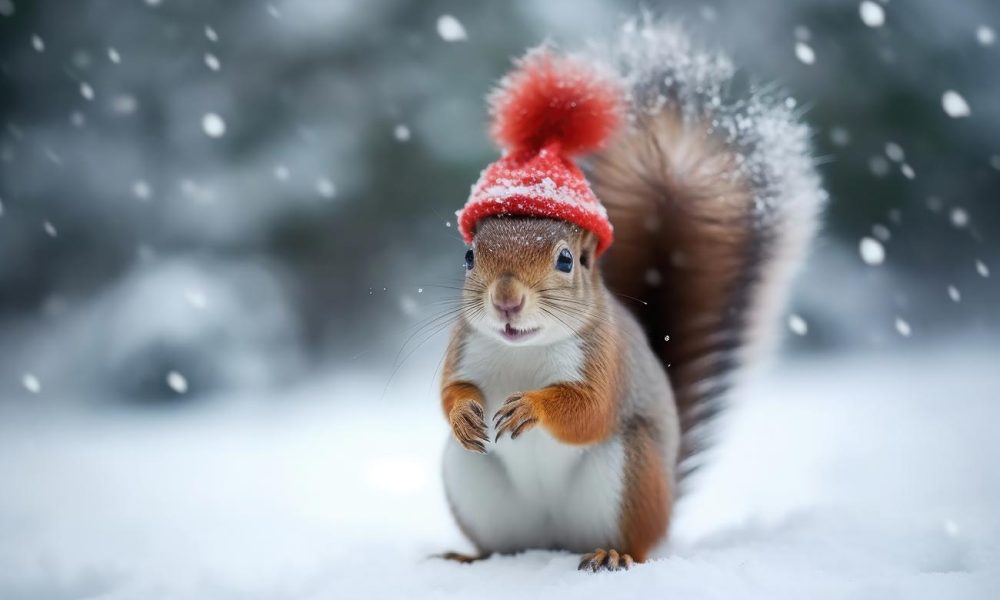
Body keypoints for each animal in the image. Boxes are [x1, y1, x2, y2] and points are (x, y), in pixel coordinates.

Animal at [438, 21, 823, 571]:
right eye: (470, 255)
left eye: (566, 260)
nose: (506, 301)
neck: (523, 350)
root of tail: (553, 541)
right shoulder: (463, 347)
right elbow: (448, 391)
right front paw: (463, 414)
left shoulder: (607, 358)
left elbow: (589, 410)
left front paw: (533, 406)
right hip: (472, 482)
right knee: (501, 545)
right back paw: (471, 559)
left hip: (630, 472)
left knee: (636, 542)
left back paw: (612, 554)